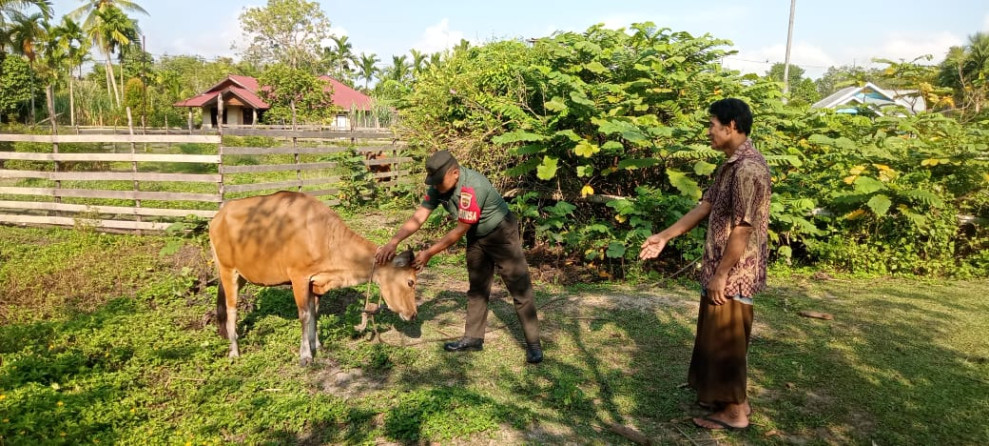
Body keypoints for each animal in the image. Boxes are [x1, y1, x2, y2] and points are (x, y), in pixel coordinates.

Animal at [208, 192, 416, 366]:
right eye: (410, 281)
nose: (413, 314)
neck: (323, 236)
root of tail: (218, 217)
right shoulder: (299, 277)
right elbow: (305, 315)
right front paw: (305, 355)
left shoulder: (316, 282)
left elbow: (314, 312)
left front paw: (316, 344)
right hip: (228, 270)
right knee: (231, 309)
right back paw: (234, 350)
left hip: (242, 275)